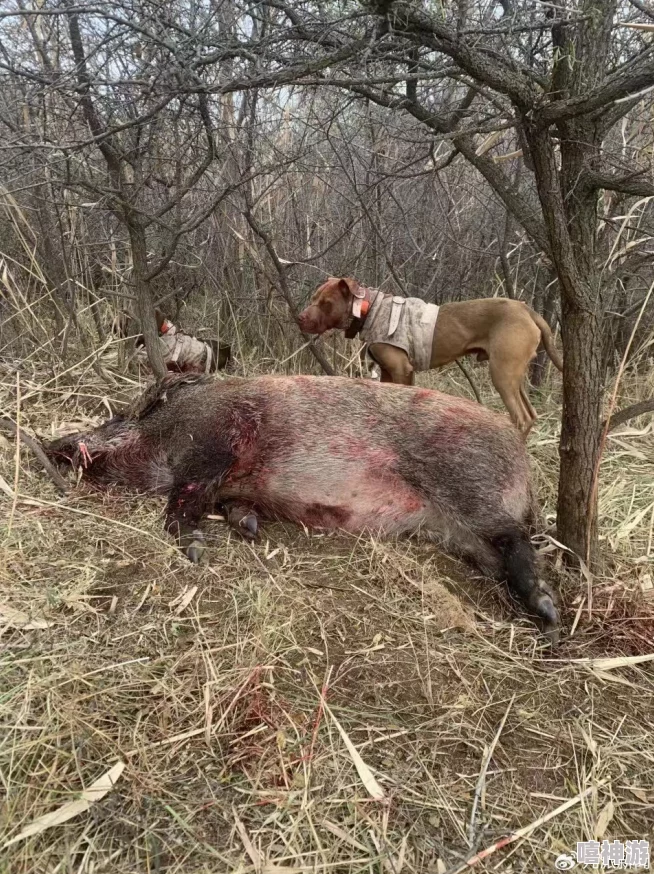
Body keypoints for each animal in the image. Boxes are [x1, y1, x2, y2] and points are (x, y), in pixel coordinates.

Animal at [46, 372, 560, 640]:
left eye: (120, 416)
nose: (56, 445)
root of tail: (524, 461)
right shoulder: (231, 484)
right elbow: (227, 505)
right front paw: (249, 527)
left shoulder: (215, 440)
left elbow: (180, 502)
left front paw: (195, 550)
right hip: (454, 530)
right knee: (502, 552)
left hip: (468, 484)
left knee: (517, 538)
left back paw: (549, 615)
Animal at [298, 276, 564, 432]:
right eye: (313, 298)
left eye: (326, 303)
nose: (300, 317)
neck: (370, 308)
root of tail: (527, 310)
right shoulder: (387, 372)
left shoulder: (401, 369)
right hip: (513, 373)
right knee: (530, 414)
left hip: (502, 373)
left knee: (521, 417)